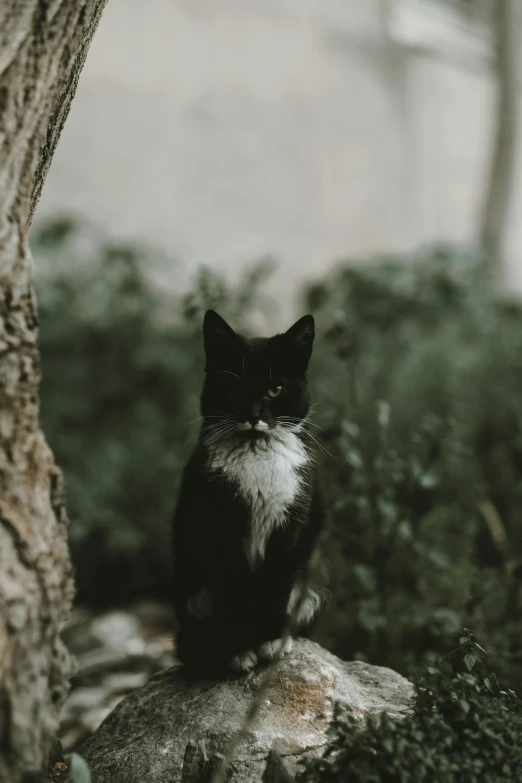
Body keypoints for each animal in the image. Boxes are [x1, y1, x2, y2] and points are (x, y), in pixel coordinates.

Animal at [172, 310, 324, 672]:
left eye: (275, 389)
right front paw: (238, 652)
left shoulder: (292, 525)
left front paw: (269, 642)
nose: (254, 416)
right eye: (235, 386)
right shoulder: (219, 525)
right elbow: (232, 591)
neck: (256, 451)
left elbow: (277, 584)